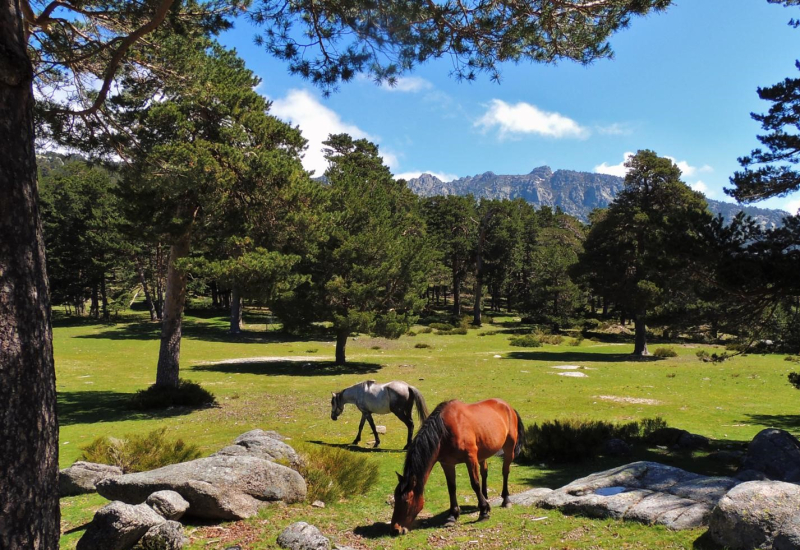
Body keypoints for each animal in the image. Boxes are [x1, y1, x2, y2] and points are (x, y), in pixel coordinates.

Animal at [390, 399, 525, 535]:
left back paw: (506, 500)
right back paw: (485, 497)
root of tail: (508, 407)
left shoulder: (470, 458)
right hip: (483, 452)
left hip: (509, 448)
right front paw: (452, 515)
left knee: (505, 472)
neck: (445, 431)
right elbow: (451, 488)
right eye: (395, 498)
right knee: (484, 471)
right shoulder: (447, 463)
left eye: (406, 501)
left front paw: (483, 512)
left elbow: (475, 484)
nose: (395, 529)